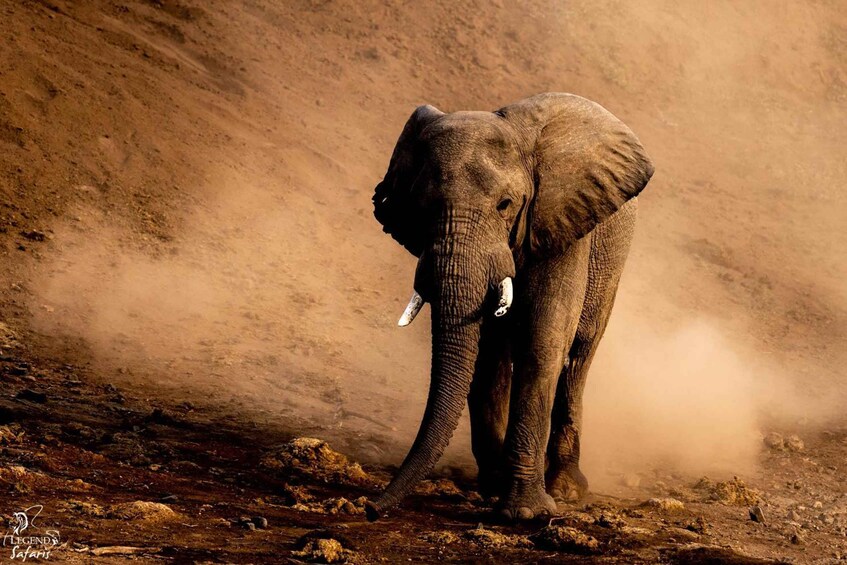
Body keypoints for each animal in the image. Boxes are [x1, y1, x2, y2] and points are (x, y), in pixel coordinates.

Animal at [365, 93, 654, 522]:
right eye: (421, 209)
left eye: (505, 205)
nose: (371, 507)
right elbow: (484, 356)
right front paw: (493, 491)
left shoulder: (561, 221)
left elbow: (544, 340)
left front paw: (525, 513)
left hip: (612, 255)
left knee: (580, 354)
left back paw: (566, 489)